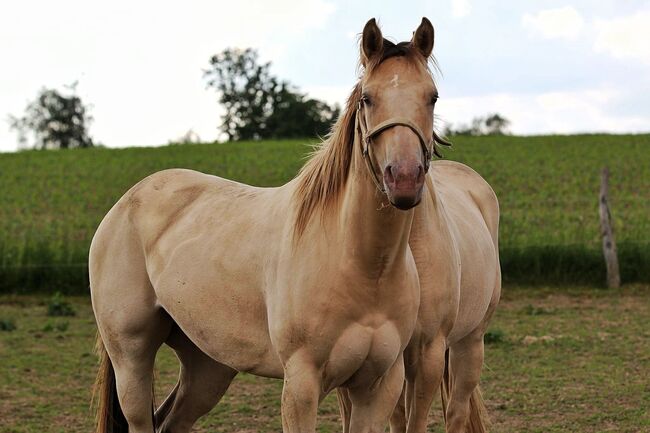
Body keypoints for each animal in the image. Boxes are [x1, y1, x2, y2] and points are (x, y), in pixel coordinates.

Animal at [90, 16, 450, 432]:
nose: (404, 178)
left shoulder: (379, 386)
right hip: (131, 355)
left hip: (208, 364)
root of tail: (125, 204)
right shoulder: (302, 384)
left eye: (432, 97)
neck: (362, 264)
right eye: (367, 98)